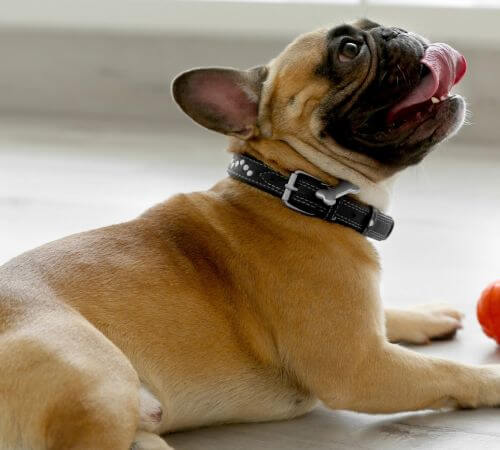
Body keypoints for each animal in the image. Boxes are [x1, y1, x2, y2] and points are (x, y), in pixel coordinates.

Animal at [0, 17, 496, 450]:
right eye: (349, 49)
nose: (397, 30)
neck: (293, 186)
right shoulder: (362, 364)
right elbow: (447, 372)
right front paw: (493, 379)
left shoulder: (362, 319)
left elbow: (390, 314)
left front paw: (427, 314)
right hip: (100, 381)